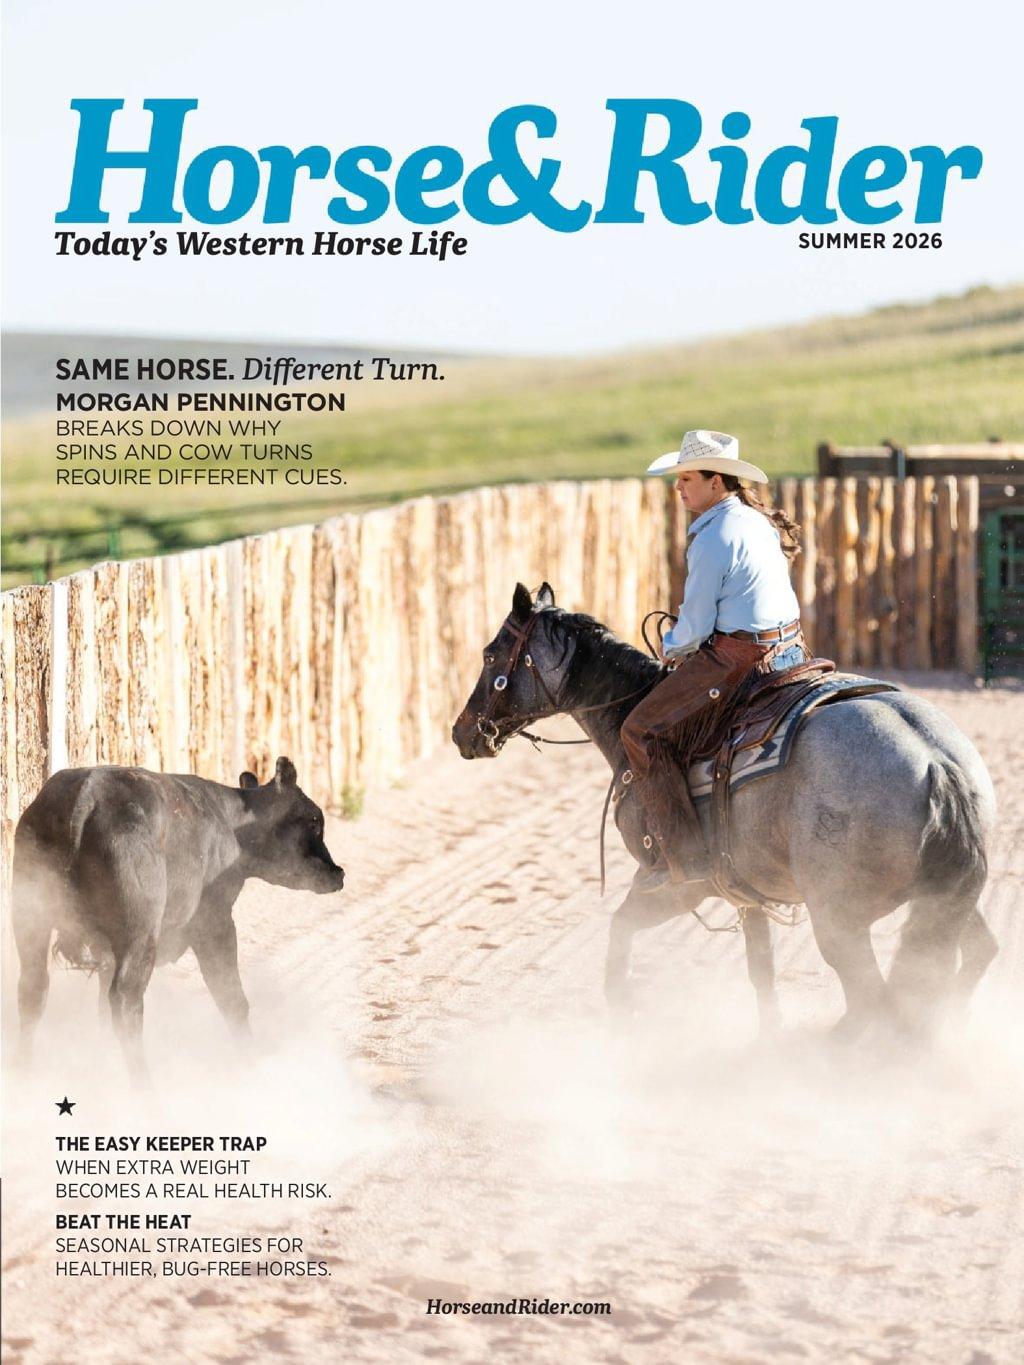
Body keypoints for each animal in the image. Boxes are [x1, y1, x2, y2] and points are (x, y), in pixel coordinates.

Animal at [452, 583, 997, 1041]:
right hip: (946, 899)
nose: (462, 732)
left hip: (839, 916)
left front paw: (623, 1011)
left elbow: (621, 927)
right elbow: (761, 970)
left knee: (873, 998)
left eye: (490, 653)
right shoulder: (745, 891)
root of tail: (935, 761)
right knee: (970, 957)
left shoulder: (677, 881)